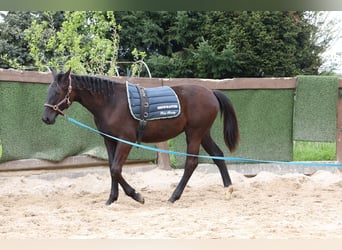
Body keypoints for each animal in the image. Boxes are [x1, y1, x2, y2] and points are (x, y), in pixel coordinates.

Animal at [42, 67, 239, 204]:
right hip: (203, 133)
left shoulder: (126, 140)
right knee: (218, 155)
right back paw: (228, 189)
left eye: (58, 91)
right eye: (48, 91)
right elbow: (112, 168)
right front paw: (112, 198)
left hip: (195, 134)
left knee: (191, 163)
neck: (111, 102)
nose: (46, 118)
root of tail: (211, 92)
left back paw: (174, 196)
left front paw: (137, 195)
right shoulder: (109, 140)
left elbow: (116, 169)